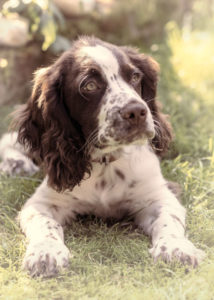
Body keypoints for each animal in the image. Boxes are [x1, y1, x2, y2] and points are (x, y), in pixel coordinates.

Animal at [0, 37, 205, 276]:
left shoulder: (159, 194)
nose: (137, 111)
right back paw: (15, 163)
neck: (107, 162)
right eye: (89, 85)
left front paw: (175, 248)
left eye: (135, 77)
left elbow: (168, 220)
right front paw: (46, 253)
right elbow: (46, 225)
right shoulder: (42, 202)